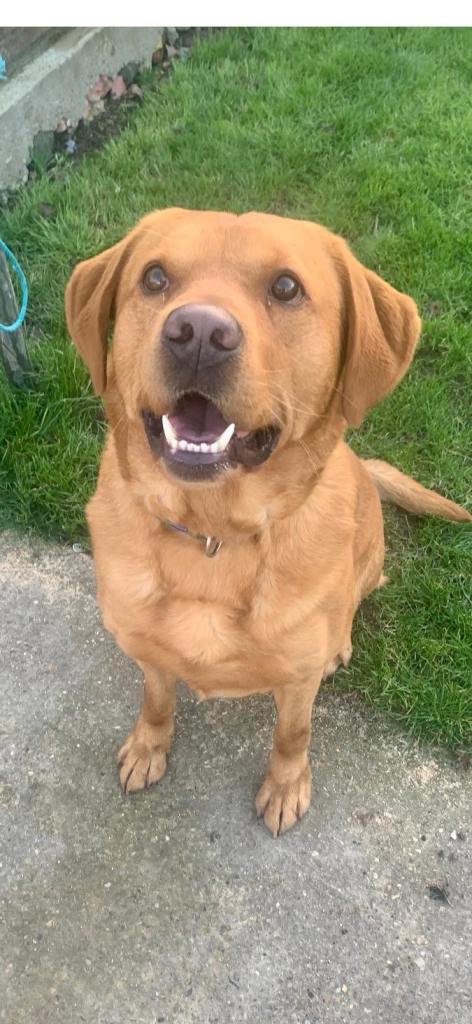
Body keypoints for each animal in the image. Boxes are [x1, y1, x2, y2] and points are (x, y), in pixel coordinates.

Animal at [66, 208, 470, 837]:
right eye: (155, 278)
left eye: (285, 287)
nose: (198, 333)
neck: (211, 535)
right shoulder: (149, 652)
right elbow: (156, 701)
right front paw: (149, 747)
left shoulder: (298, 683)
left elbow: (292, 735)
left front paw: (285, 787)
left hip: (366, 564)